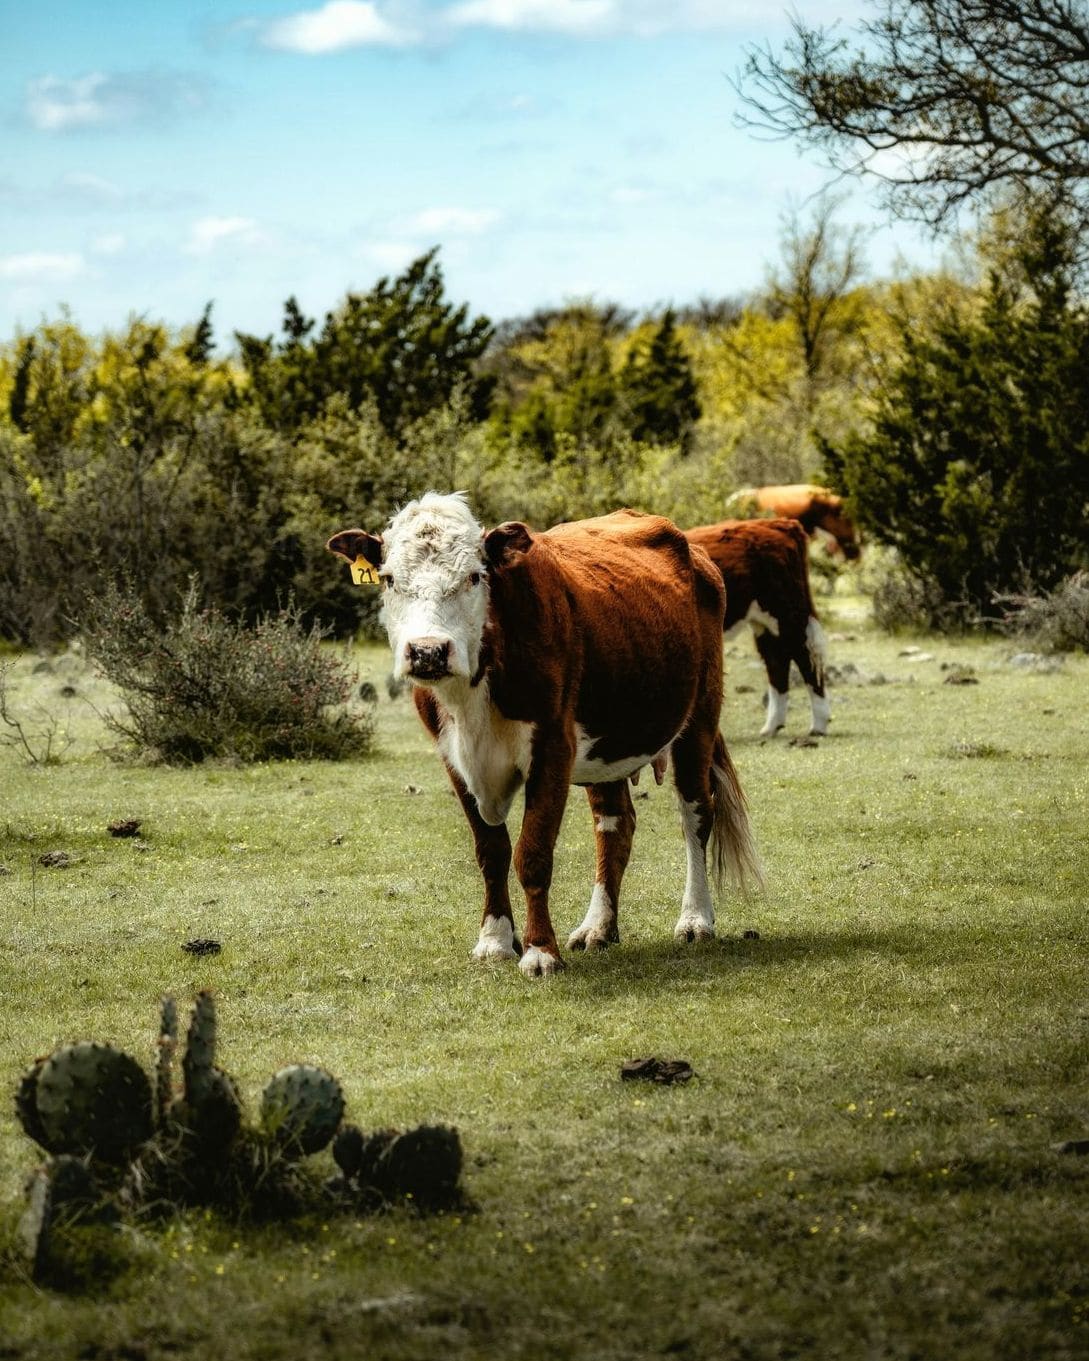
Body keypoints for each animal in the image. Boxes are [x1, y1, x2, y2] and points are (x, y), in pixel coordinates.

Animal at [327, 493, 761, 979]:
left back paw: (696, 919)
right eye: (388, 579)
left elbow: (532, 854)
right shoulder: (453, 759)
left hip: (698, 720)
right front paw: (495, 939)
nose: (428, 652)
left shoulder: (553, 747)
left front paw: (538, 952)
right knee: (614, 825)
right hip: (610, 739)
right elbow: (492, 852)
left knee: (696, 814)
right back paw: (598, 927)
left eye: (475, 576)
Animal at [685, 518, 830, 738]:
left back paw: (818, 725)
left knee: (804, 655)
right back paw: (772, 726)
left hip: (787, 614)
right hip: (765, 623)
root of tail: (779, 523)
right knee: (777, 660)